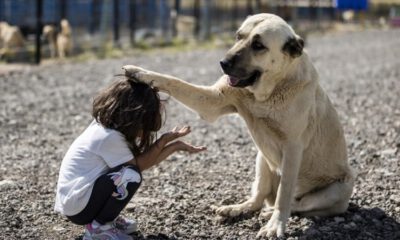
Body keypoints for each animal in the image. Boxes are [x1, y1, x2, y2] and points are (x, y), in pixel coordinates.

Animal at [122, 13, 354, 238]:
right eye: (238, 36)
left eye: (258, 45)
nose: (223, 63)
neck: (269, 91)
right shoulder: (213, 100)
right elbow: (174, 81)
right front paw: (140, 73)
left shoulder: (293, 148)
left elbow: (285, 194)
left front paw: (276, 224)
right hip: (262, 160)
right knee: (258, 198)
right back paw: (237, 208)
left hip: (339, 187)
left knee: (298, 203)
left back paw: (271, 212)